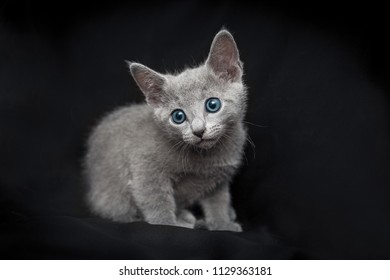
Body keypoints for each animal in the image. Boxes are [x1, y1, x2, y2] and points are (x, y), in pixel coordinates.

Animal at [86, 30, 250, 232]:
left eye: (213, 105)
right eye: (178, 116)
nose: (198, 131)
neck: (205, 157)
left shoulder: (218, 179)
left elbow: (218, 201)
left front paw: (222, 223)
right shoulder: (146, 168)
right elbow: (156, 200)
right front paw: (168, 223)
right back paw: (186, 218)